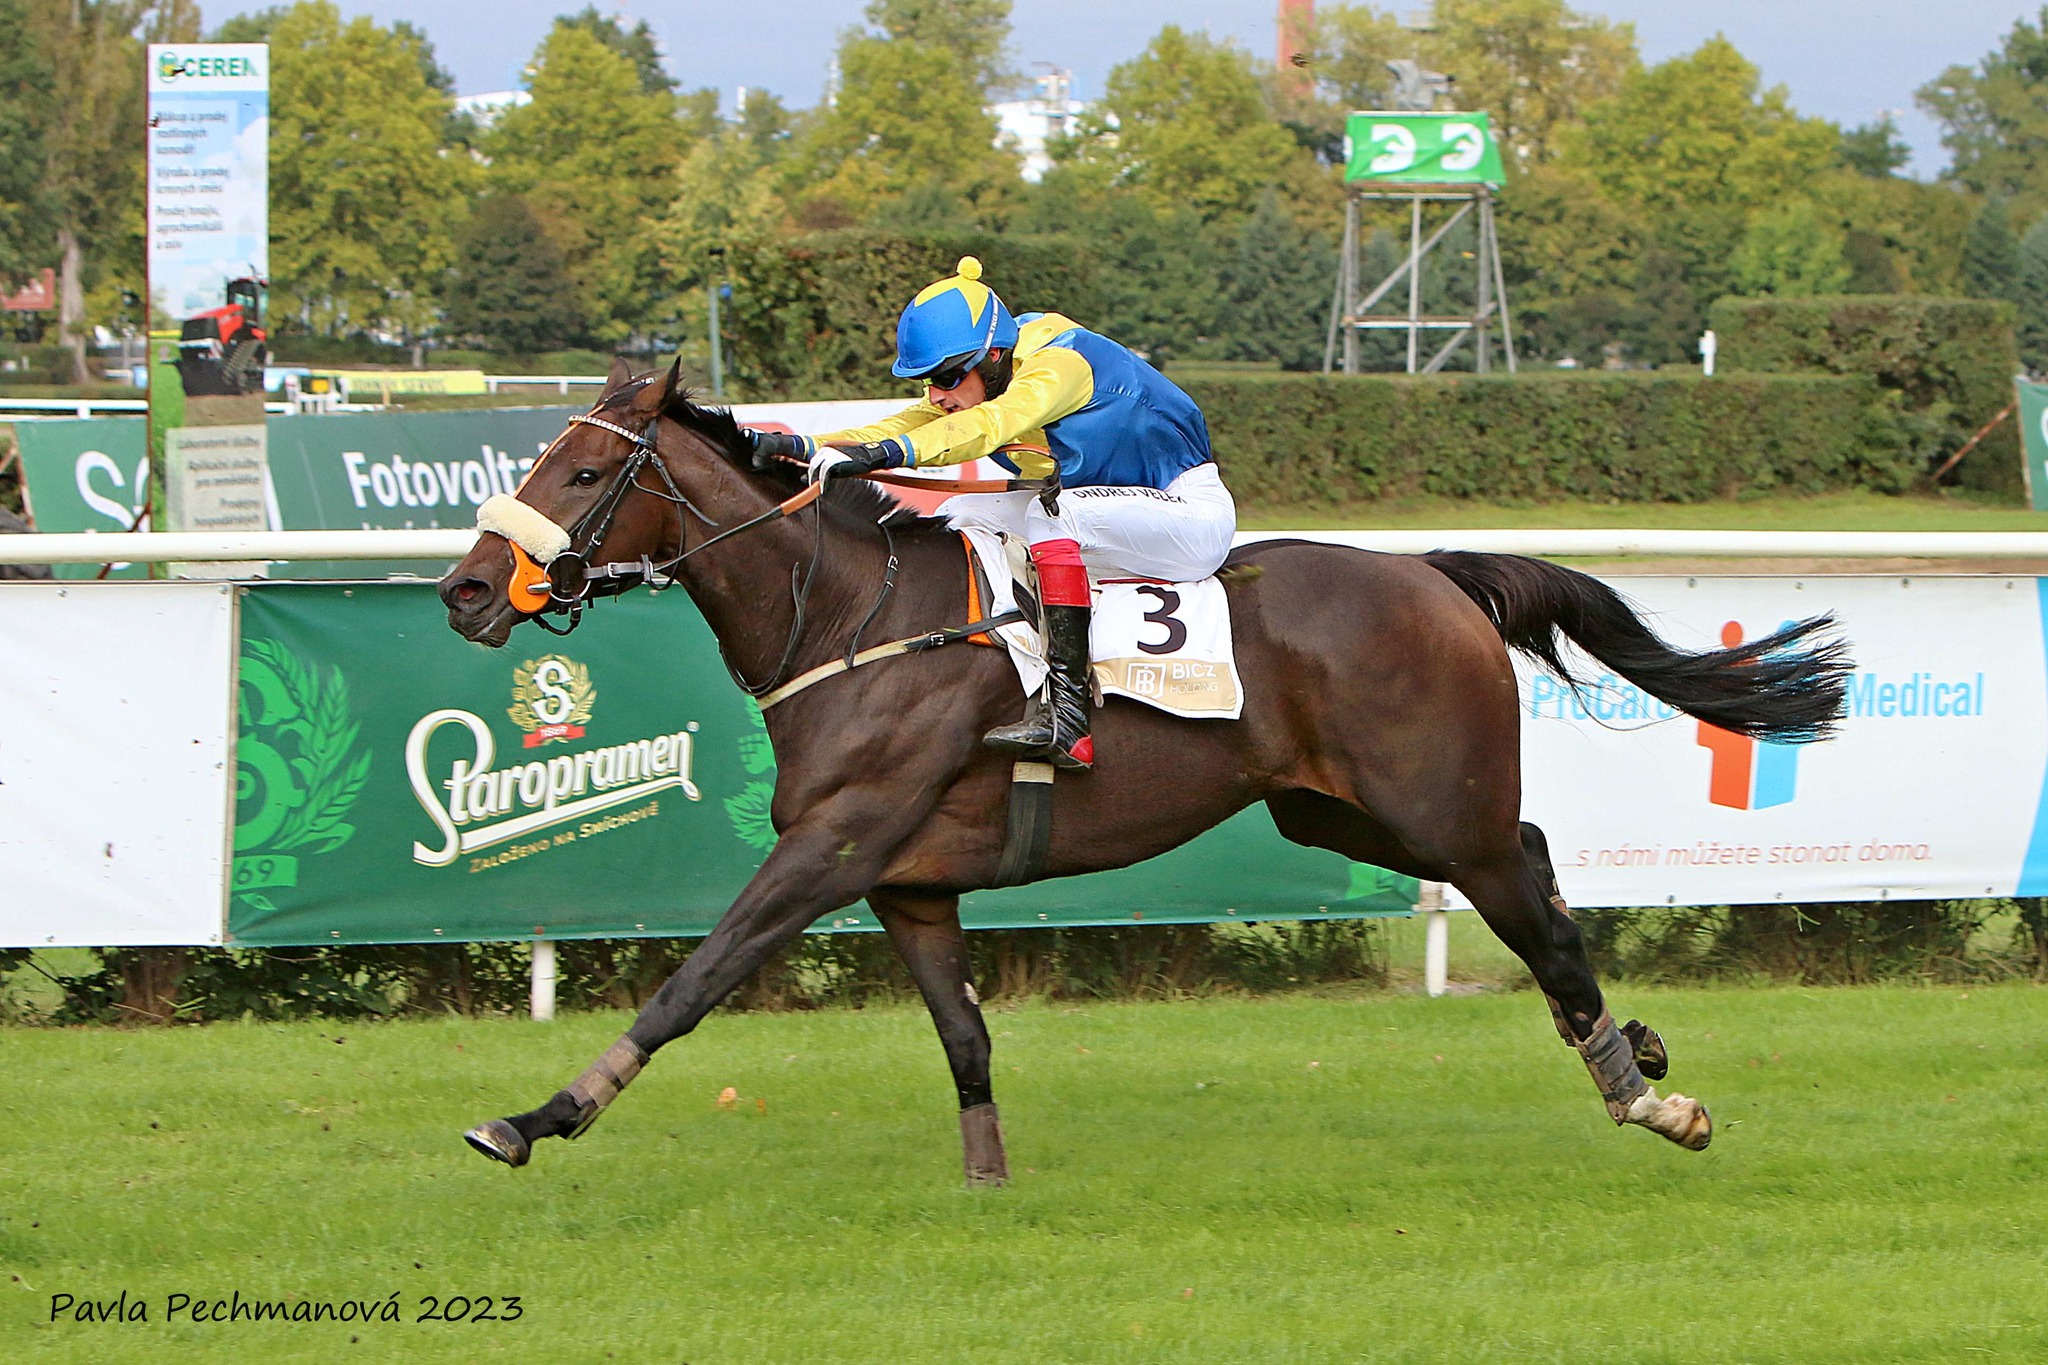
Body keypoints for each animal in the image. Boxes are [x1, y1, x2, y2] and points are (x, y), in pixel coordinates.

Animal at [440, 358, 1851, 1178]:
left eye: (577, 468)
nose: (462, 591)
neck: (847, 618)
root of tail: (1433, 575)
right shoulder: (908, 882)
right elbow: (963, 1035)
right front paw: (987, 1182)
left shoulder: (830, 848)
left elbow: (692, 985)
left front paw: (535, 1118)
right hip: (1335, 814)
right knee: (1541, 861)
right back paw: (1636, 1044)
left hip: (1430, 809)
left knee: (1536, 918)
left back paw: (1647, 1097)